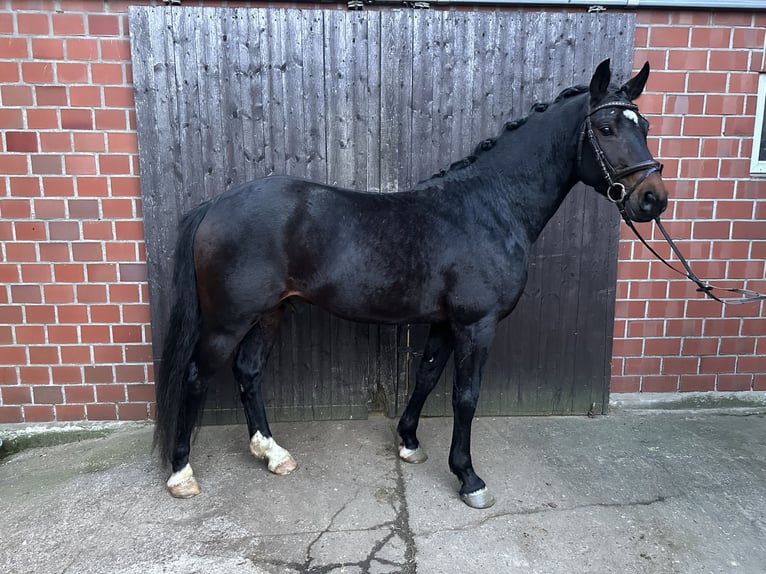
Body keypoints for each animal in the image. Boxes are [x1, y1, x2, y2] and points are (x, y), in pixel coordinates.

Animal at [154, 59, 667, 508]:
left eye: (643, 126)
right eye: (606, 129)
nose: (653, 199)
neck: (490, 206)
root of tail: (215, 206)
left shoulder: (445, 322)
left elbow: (427, 375)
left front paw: (409, 442)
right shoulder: (476, 324)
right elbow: (465, 396)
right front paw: (468, 477)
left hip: (270, 313)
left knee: (249, 372)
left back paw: (273, 454)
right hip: (228, 320)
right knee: (197, 376)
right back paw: (181, 474)